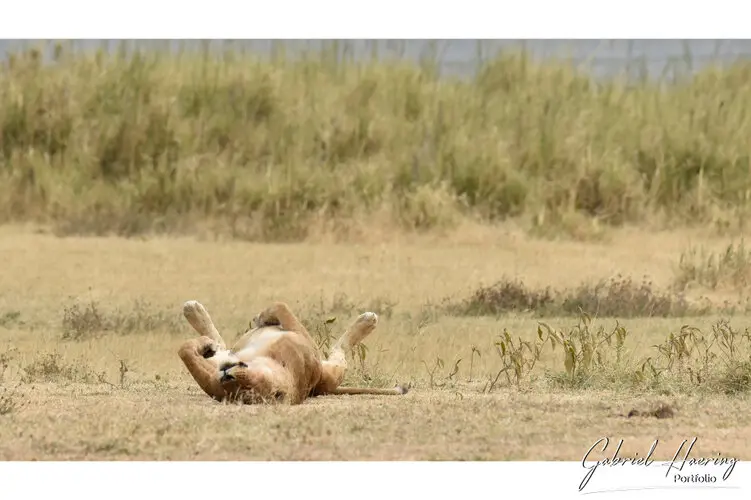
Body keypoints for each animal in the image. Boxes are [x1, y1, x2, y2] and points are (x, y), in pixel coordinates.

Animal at [177, 300, 408, 402]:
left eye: (248, 390)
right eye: (236, 393)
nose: (227, 376)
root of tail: (319, 388)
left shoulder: (304, 343)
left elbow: (280, 306)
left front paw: (260, 318)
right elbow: (185, 350)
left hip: (331, 370)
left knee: (340, 350)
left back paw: (368, 321)